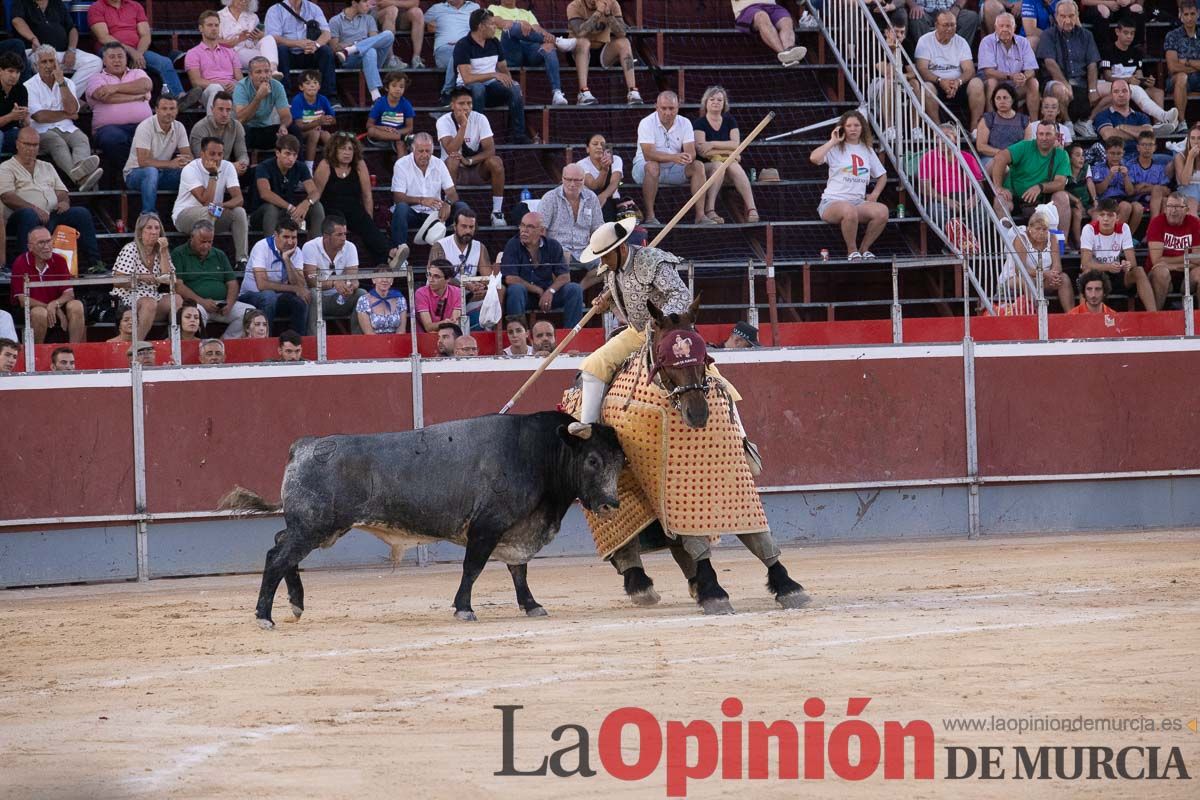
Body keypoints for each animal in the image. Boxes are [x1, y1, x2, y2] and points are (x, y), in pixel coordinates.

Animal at [219, 412, 624, 633]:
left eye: (619, 461)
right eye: (592, 460)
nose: (611, 503)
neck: (537, 452)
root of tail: (303, 445)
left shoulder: (515, 531)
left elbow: (518, 570)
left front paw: (531, 605)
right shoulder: (487, 527)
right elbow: (474, 568)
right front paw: (464, 609)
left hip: (312, 527)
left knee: (281, 547)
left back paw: (297, 604)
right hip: (314, 526)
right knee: (277, 557)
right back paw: (265, 616)